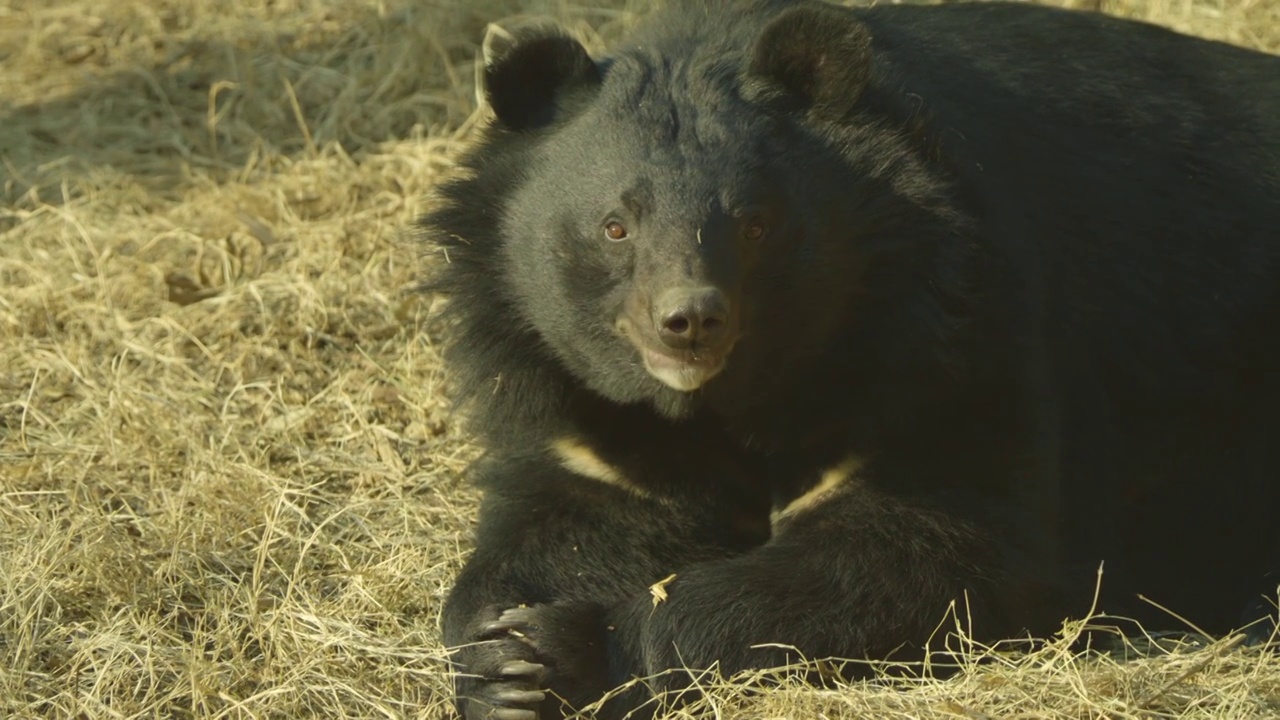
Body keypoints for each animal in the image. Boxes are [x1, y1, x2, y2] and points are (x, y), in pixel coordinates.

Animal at [424, 0, 1280, 712]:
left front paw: (572, 650)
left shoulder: (946, 339)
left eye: (755, 223)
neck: (721, 402)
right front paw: (506, 663)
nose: (689, 322)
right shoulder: (574, 400)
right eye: (614, 226)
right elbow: (569, 524)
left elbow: (921, 549)